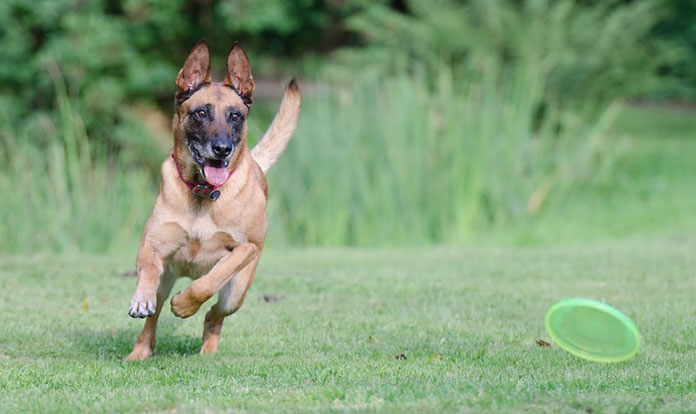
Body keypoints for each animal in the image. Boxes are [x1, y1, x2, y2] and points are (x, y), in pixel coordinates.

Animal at [126, 40, 300, 360]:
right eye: (201, 113)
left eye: (235, 116)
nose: (222, 149)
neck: (203, 194)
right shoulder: (153, 245)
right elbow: (147, 270)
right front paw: (141, 299)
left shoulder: (245, 249)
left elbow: (210, 280)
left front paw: (184, 305)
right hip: (166, 280)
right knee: (154, 318)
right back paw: (140, 351)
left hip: (237, 292)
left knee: (214, 314)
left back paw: (208, 349)